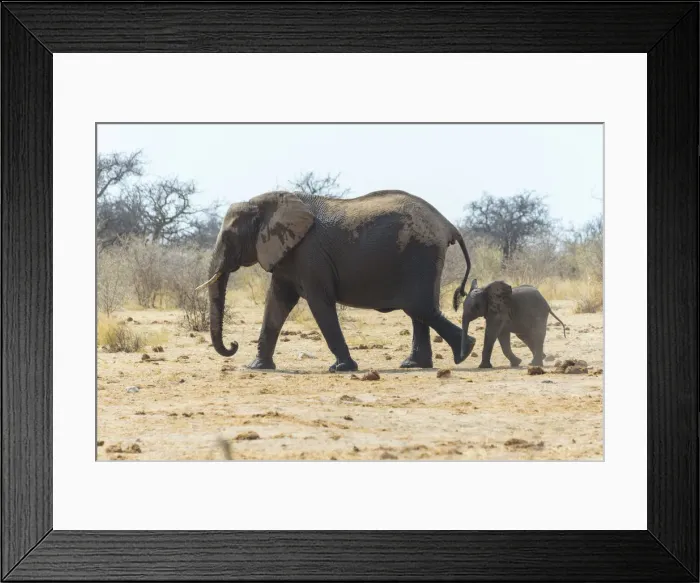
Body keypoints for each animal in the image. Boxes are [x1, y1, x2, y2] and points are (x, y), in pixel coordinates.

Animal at [196, 189, 475, 372]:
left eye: (229, 238)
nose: (233, 344)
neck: (265, 203)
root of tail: (448, 224)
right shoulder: (288, 255)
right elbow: (276, 304)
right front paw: (257, 367)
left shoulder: (310, 254)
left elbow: (319, 304)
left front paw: (342, 368)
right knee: (419, 311)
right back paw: (415, 364)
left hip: (422, 254)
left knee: (419, 307)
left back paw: (465, 351)